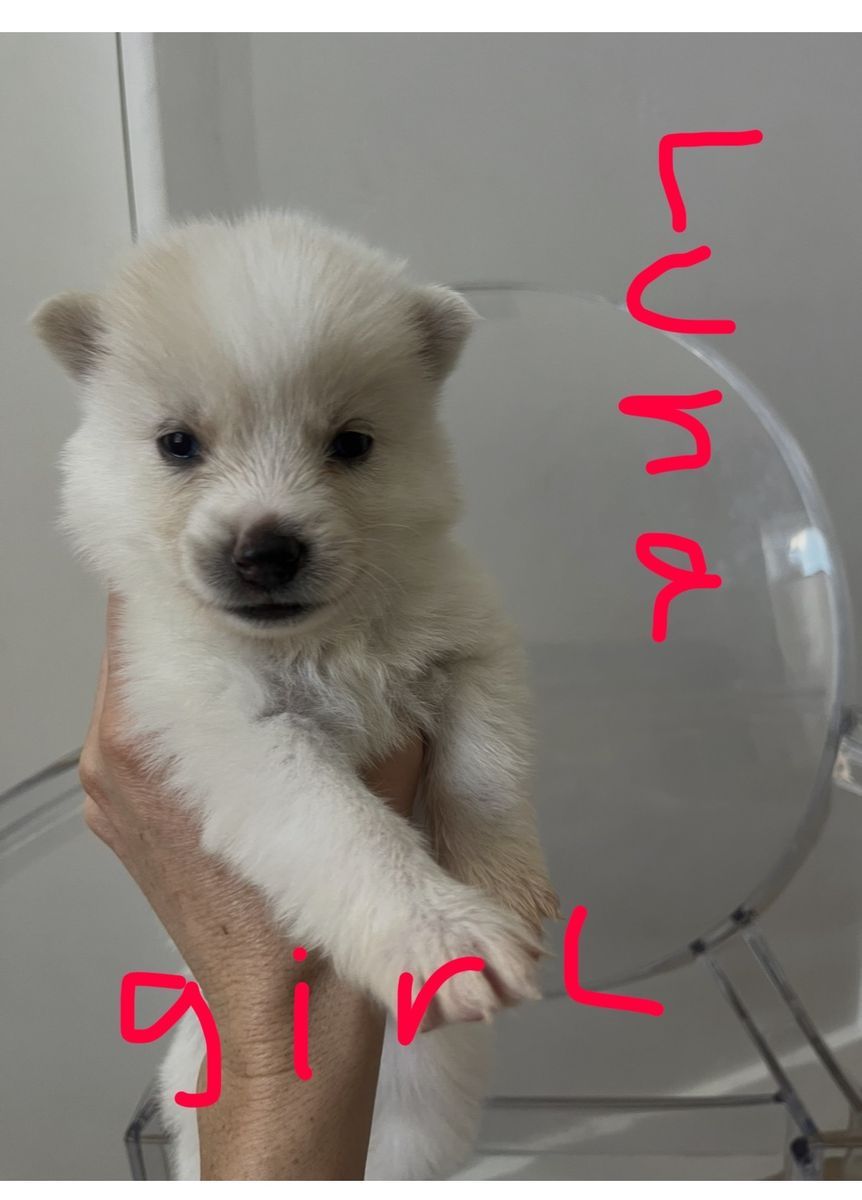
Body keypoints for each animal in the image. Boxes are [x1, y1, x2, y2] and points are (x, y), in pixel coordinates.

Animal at [33, 210, 558, 1179]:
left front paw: (498, 880)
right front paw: (443, 935)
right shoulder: (234, 731)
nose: (267, 550)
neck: (321, 642)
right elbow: (344, 830)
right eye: (176, 443)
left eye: (351, 443)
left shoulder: (472, 643)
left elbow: (487, 772)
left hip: (424, 1122)